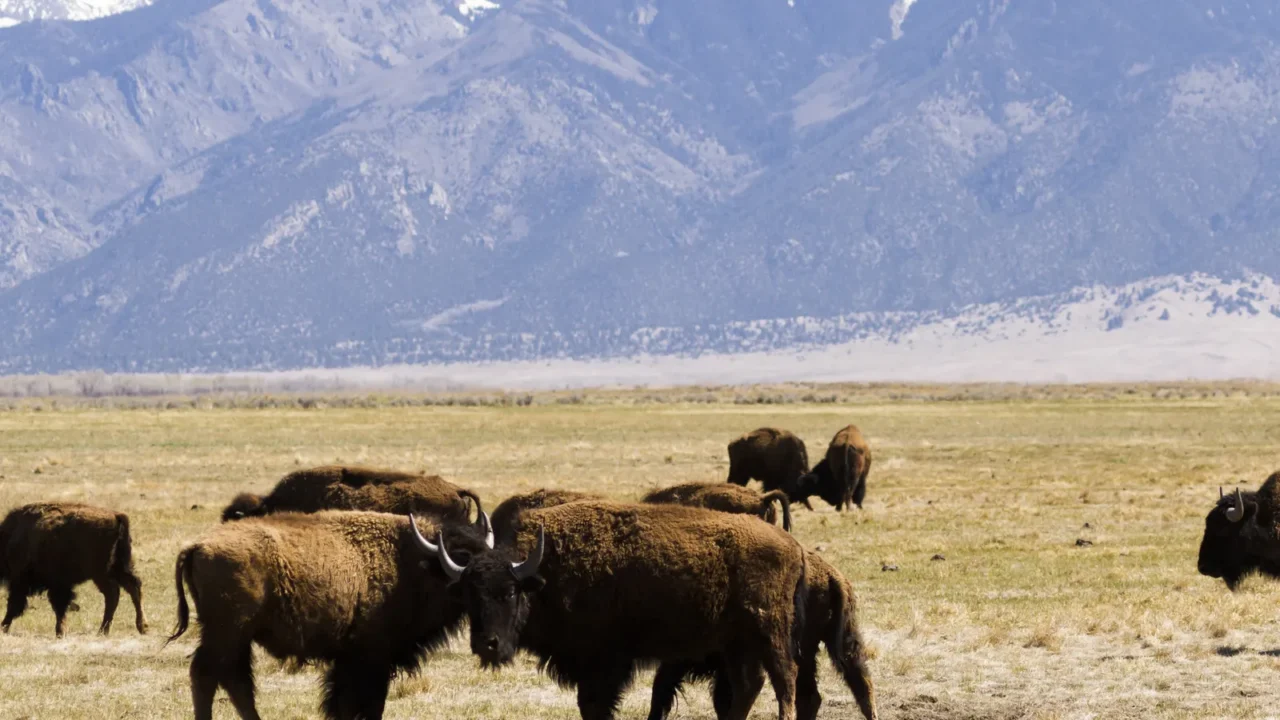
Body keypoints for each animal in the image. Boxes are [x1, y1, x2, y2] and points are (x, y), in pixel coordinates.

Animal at [0, 502, 147, 638]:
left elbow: (17, 605)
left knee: (114, 593)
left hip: (102, 573)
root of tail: (117, 516)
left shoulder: (24, 580)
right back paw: (139, 628)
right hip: (119, 567)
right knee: (131, 588)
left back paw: (104, 631)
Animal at [168, 510, 492, 720]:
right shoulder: (371, 658)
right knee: (207, 675)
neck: (417, 562)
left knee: (235, 681)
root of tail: (197, 545)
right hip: (227, 632)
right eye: (465, 559)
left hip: (236, 637)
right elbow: (365, 704)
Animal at [429, 499, 808, 720]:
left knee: (784, 679)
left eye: (509, 592)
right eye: (468, 595)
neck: (544, 570)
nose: (487, 644)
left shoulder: (603, 664)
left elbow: (595, 706)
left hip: (769, 632)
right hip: (736, 643)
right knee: (749, 685)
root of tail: (793, 545)